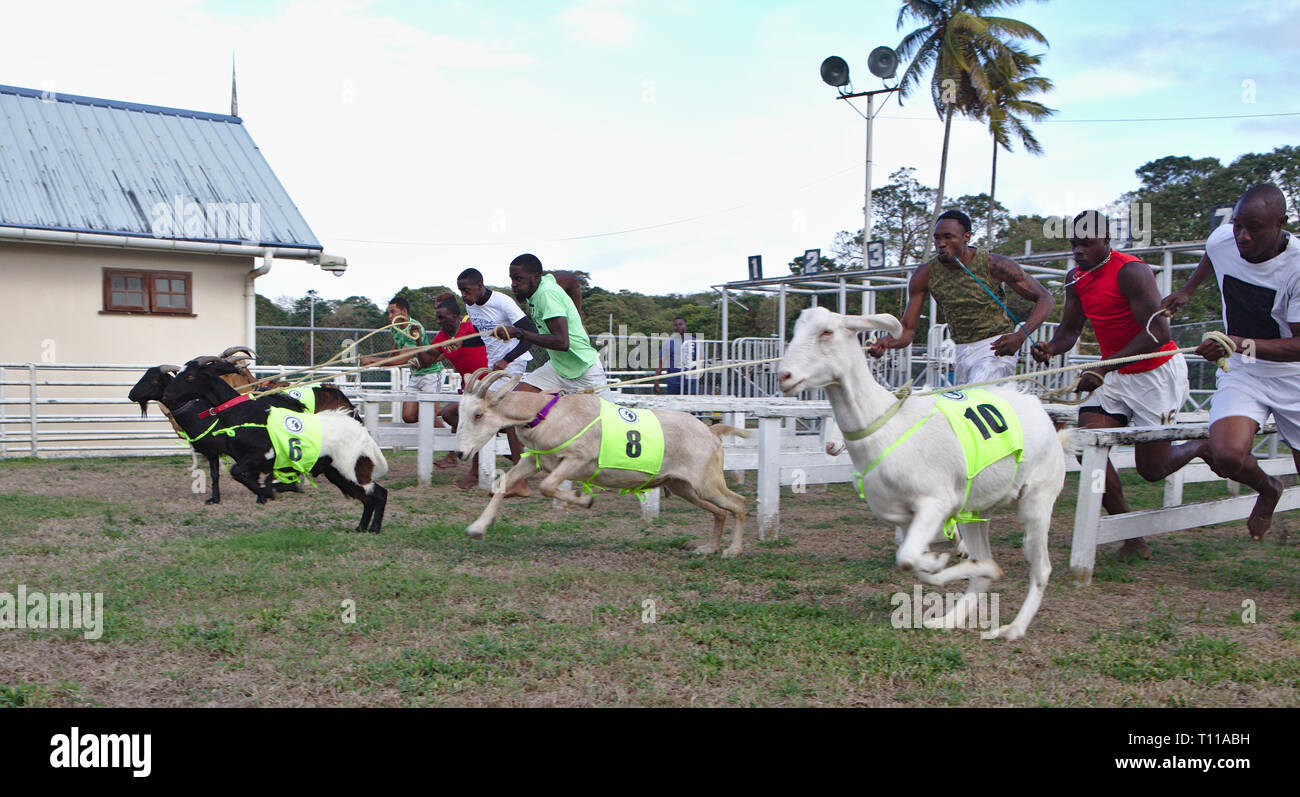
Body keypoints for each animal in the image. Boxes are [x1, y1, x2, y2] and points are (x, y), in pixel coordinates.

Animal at [453, 369, 750, 556]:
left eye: (478, 414)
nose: (461, 452)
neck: (546, 412)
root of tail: (712, 431)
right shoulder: (537, 459)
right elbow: (503, 483)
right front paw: (477, 528)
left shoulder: (578, 459)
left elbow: (547, 487)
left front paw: (585, 500)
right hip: (683, 486)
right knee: (720, 511)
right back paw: (708, 548)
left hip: (706, 481)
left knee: (738, 503)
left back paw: (733, 550)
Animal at [776, 308, 1071, 640]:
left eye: (826, 332)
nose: (784, 377)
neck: (887, 425)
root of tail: (1046, 417)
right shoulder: (905, 516)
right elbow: (911, 561)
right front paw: (943, 564)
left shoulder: (935, 503)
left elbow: (908, 557)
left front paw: (940, 561)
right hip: (975, 511)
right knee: (983, 562)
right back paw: (950, 617)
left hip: (1038, 499)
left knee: (1042, 567)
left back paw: (1013, 628)